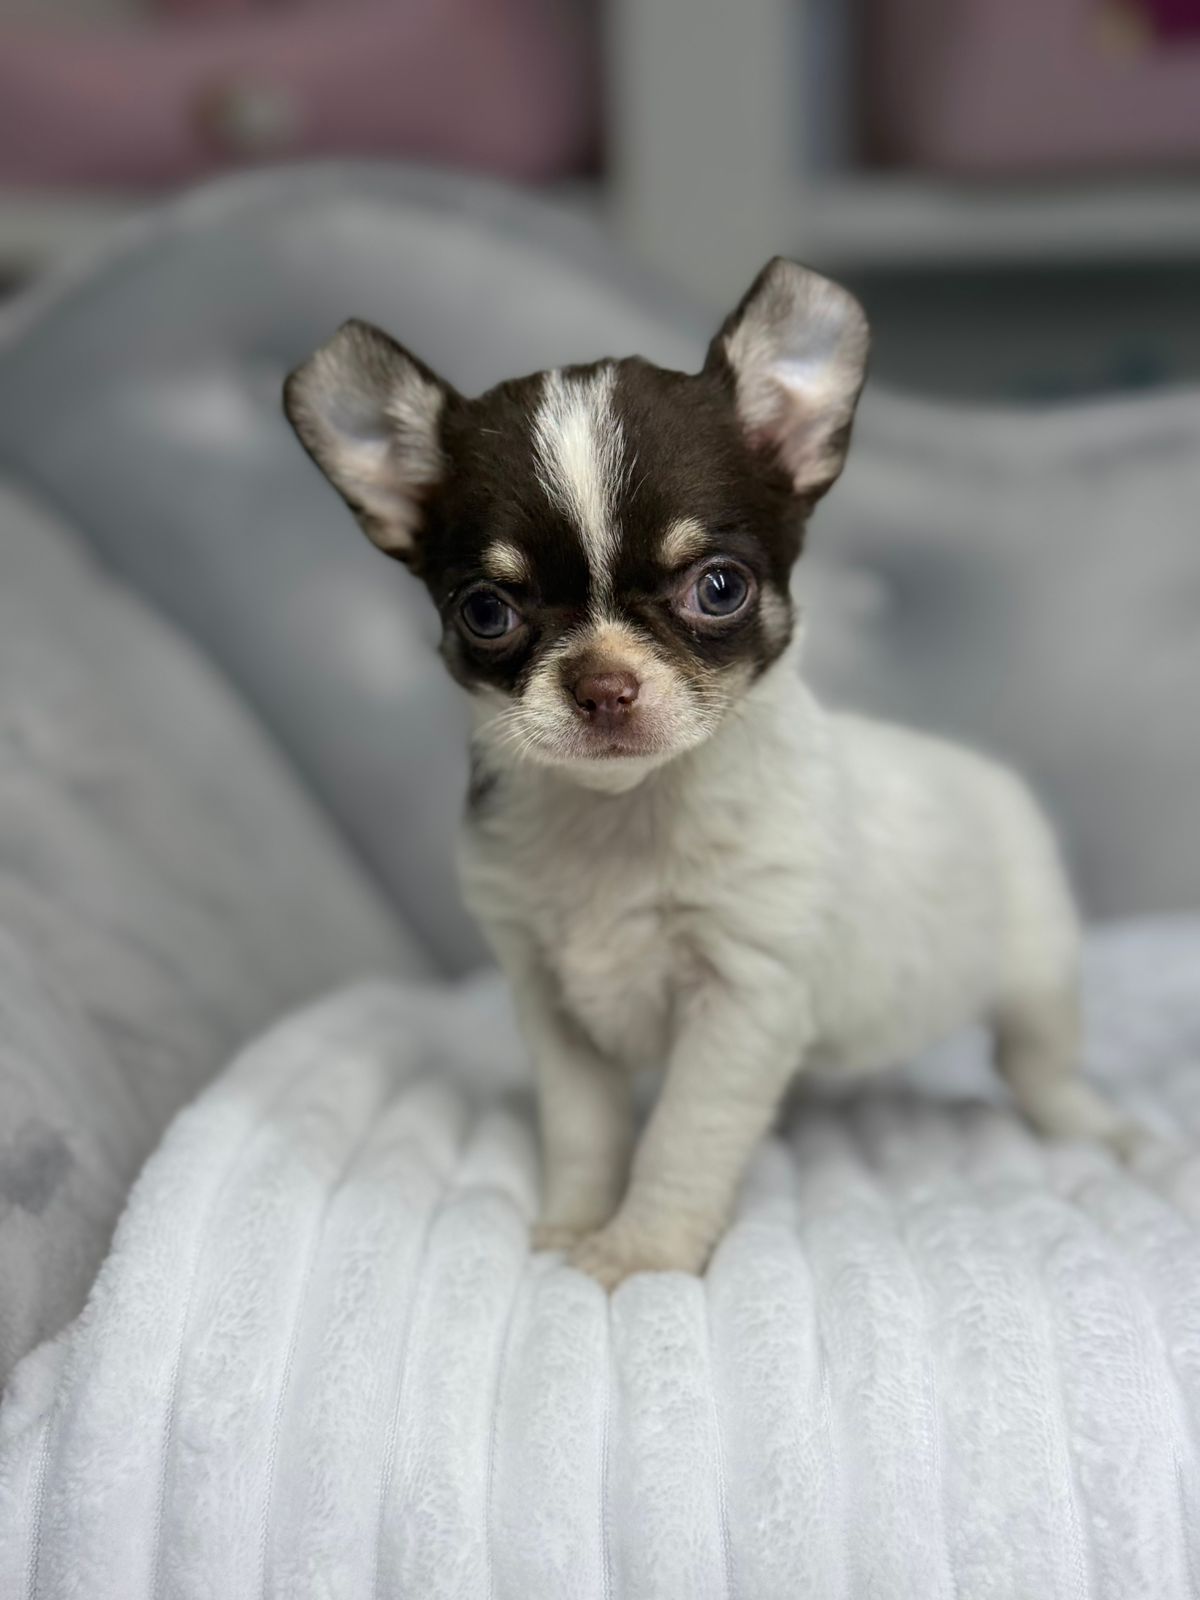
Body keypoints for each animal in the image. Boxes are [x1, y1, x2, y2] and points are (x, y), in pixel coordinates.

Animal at [284, 257, 1135, 1289]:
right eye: (486, 611)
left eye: (719, 588)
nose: (601, 684)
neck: (625, 814)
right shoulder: (549, 1002)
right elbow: (586, 1131)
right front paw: (575, 1226)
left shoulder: (740, 1003)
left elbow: (683, 1138)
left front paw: (639, 1252)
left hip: (1039, 973)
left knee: (1042, 1070)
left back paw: (1106, 1132)